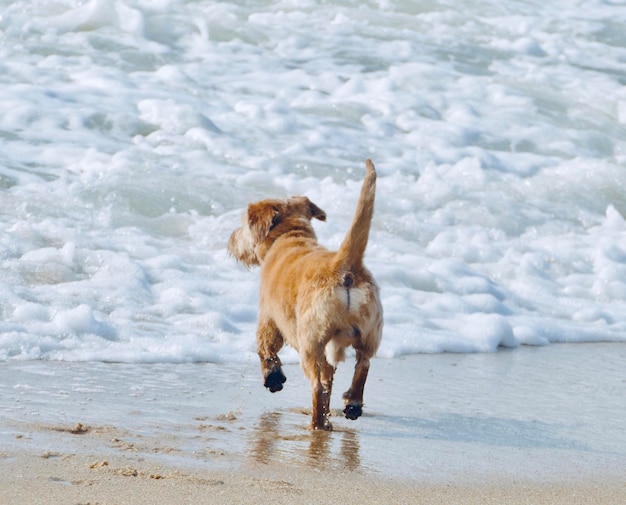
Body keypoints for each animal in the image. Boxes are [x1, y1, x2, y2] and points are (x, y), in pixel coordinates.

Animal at [225, 158, 380, 430]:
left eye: (243, 225)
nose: (231, 239)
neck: (290, 237)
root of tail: (343, 265)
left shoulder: (268, 315)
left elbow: (265, 345)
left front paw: (273, 377)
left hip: (310, 341)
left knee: (317, 385)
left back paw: (317, 424)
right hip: (370, 331)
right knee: (362, 363)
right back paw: (351, 403)